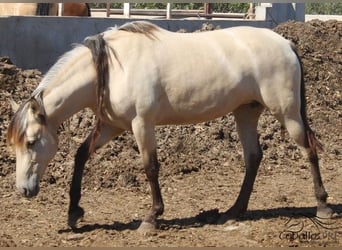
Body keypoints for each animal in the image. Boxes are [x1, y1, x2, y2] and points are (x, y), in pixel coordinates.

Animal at [7, 21, 334, 232]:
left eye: (32, 142)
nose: (24, 189)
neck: (112, 68)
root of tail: (285, 43)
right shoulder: (112, 126)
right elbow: (80, 156)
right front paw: (74, 213)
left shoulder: (142, 124)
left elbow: (151, 167)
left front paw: (151, 218)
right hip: (246, 113)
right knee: (253, 157)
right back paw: (232, 212)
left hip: (287, 112)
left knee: (309, 149)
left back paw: (323, 206)